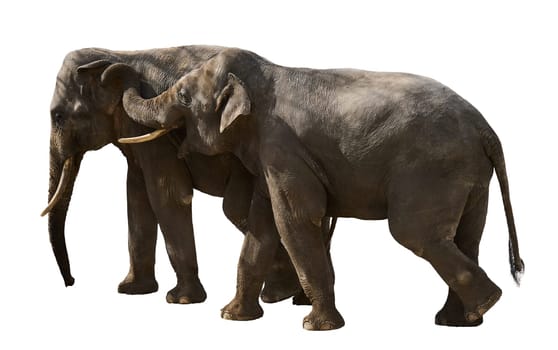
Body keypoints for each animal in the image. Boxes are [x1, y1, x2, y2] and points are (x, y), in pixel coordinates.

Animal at [43, 47, 334, 306]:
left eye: (58, 116)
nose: (71, 282)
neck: (119, 53)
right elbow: (136, 196)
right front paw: (132, 290)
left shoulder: (153, 137)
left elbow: (167, 195)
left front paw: (180, 300)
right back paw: (292, 297)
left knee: (236, 209)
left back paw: (281, 295)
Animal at [120, 47, 528, 330]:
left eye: (184, 98)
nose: (121, 71)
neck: (264, 76)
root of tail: (486, 129)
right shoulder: (273, 159)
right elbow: (264, 224)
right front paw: (232, 318)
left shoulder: (283, 148)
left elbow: (296, 221)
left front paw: (315, 327)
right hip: (471, 176)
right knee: (465, 236)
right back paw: (459, 320)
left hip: (434, 169)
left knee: (415, 233)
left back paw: (484, 305)